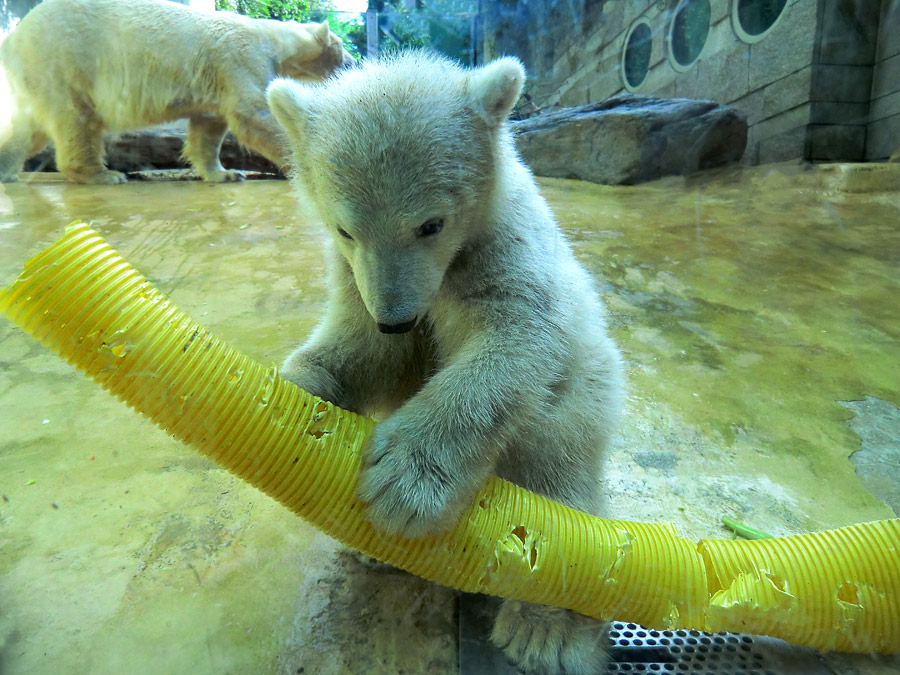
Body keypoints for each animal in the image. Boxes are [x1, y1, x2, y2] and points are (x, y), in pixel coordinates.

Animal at [0, 0, 348, 182]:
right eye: (342, 44)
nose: (352, 59)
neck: (274, 38)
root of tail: (13, 39)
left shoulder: (216, 78)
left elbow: (208, 128)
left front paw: (225, 173)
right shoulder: (240, 56)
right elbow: (254, 113)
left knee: (28, 129)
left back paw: (8, 172)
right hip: (66, 59)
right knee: (76, 120)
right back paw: (102, 174)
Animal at [264, 52, 624, 675]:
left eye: (430, 224)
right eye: (345, 228)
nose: (396, 317)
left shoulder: (506, 247)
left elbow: (519, 335)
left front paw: (407, 479)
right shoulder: (360, 280)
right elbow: (369, 349)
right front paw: (303, 383)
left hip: (583, 400)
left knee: (559, 487)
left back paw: (543, 631)